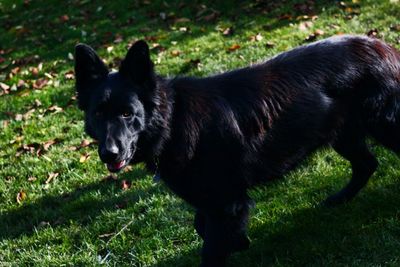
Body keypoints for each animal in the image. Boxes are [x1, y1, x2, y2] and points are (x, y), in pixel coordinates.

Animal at [74, 35, 400, 266]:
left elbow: (210, 248)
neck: (173, 119)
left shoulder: (226, 202)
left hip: (383, 125)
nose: (109, 153)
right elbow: (202, 225)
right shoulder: (216, 199)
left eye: (127, 114)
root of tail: (384, 47)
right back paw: (341, 198)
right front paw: (241, 240)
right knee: (367, 163)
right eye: (98, 114)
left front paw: (233, 242)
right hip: (342, 135)